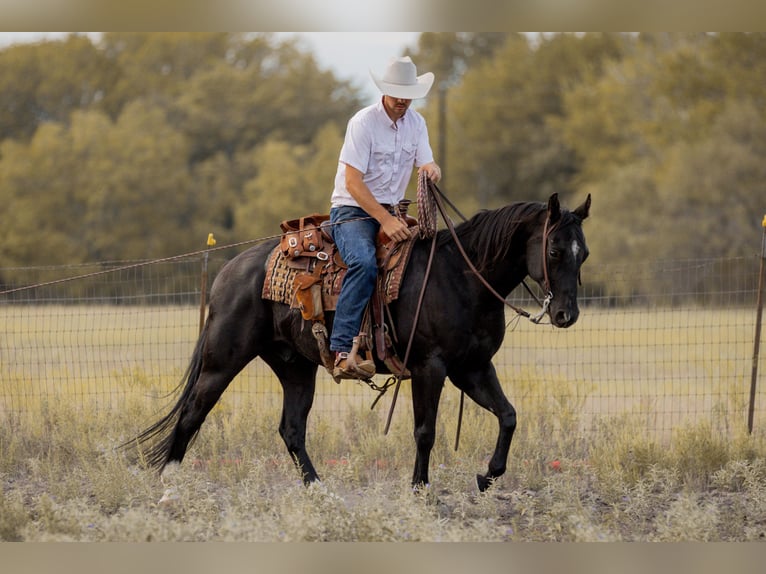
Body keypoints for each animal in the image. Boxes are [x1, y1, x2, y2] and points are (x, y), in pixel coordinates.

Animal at [129, 192, 592, 490]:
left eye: (582, 253)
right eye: (553, 250)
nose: (566, 315)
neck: (462, 277)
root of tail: (229, 270)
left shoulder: (473, 368)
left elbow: (508, 415)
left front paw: (485, 478)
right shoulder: (431, 367)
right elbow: (425, 431)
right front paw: (420, 490)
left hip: (295, 366)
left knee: (291, 429)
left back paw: (319, 491)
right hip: (222, 360)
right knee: (193, 413)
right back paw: (168, 484)